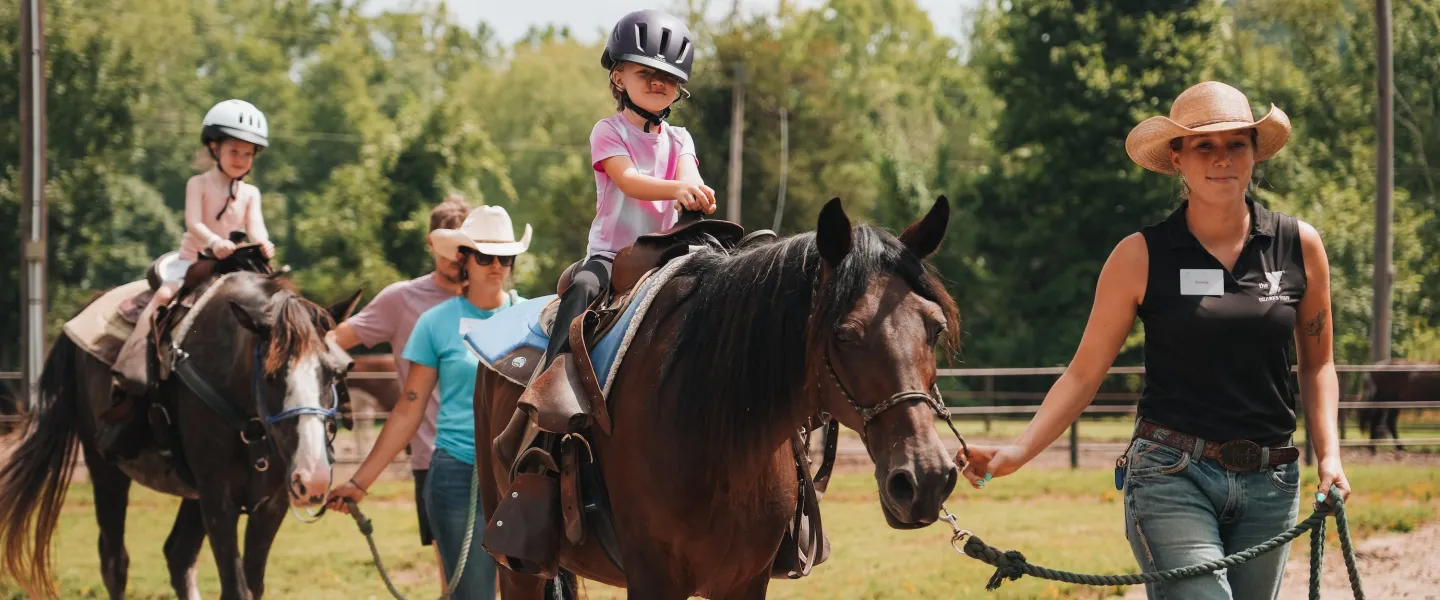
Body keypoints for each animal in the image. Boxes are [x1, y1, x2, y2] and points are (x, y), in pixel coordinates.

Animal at [0, 270, 360, 600]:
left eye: (332, 373)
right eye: (271, 376)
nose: (313, 477)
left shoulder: (270, 503)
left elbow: (251, 585)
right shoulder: (218, 499)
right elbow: (236, 588)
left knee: (178, 555)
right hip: (105, 470)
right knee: (115, 562)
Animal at [475, 197, 963, 599]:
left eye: (935, 327)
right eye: (844, 334)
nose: (926, 477)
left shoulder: (745, 582)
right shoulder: (653, 579)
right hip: (515, 570)